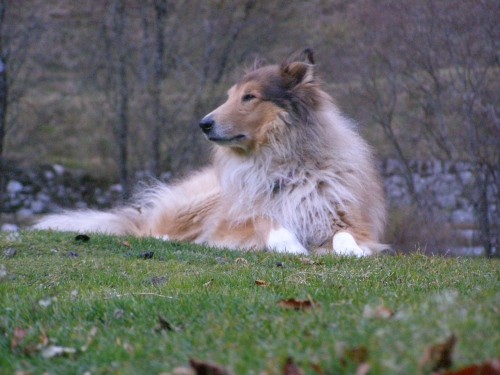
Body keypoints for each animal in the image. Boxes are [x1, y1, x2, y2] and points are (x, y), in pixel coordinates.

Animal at [36, 49, 386, 256]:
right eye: (230, 95)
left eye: (250, 97)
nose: (203, 124)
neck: (285, 162)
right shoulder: (234, 221)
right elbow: (266, 220)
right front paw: (291, 246)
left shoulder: (343, 216)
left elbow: (346, 236)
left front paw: (353, 251)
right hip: (200, 203)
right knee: (149, 229)